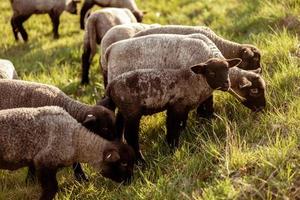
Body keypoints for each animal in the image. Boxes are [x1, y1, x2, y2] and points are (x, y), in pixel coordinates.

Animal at [102, 33, 264, 116]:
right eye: (254, 90)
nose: (263, 109)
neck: (208, 53)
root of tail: (110, 49)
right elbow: (206, 101)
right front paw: (206, 118)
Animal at [103, 57, 241, 162]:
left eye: (227, 69)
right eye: (211, 73)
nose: (226, 84)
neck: (196, 82)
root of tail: (111, 86)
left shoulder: (182, 108)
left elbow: (180, 125)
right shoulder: (176, 106)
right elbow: (173, 128)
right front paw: (173, 148)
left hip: (123, 110)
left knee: (119, 130)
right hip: (132, 111)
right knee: (131, 136)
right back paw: (141, 161)